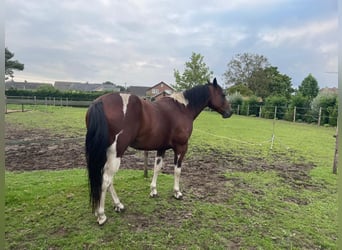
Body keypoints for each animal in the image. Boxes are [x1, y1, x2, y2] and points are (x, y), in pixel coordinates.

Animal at [85, 77, 232, 225]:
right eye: (223, 94)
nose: (229, 112)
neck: (182, 109)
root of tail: (98, 102)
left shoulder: (161, 148)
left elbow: (157, 168)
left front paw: (153, 191)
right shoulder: (181, 147)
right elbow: (177, 171)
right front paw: (177, 192)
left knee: (106, 178)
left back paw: (118, 205)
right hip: (116, 152)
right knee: (106, 180)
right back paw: (101, 215)